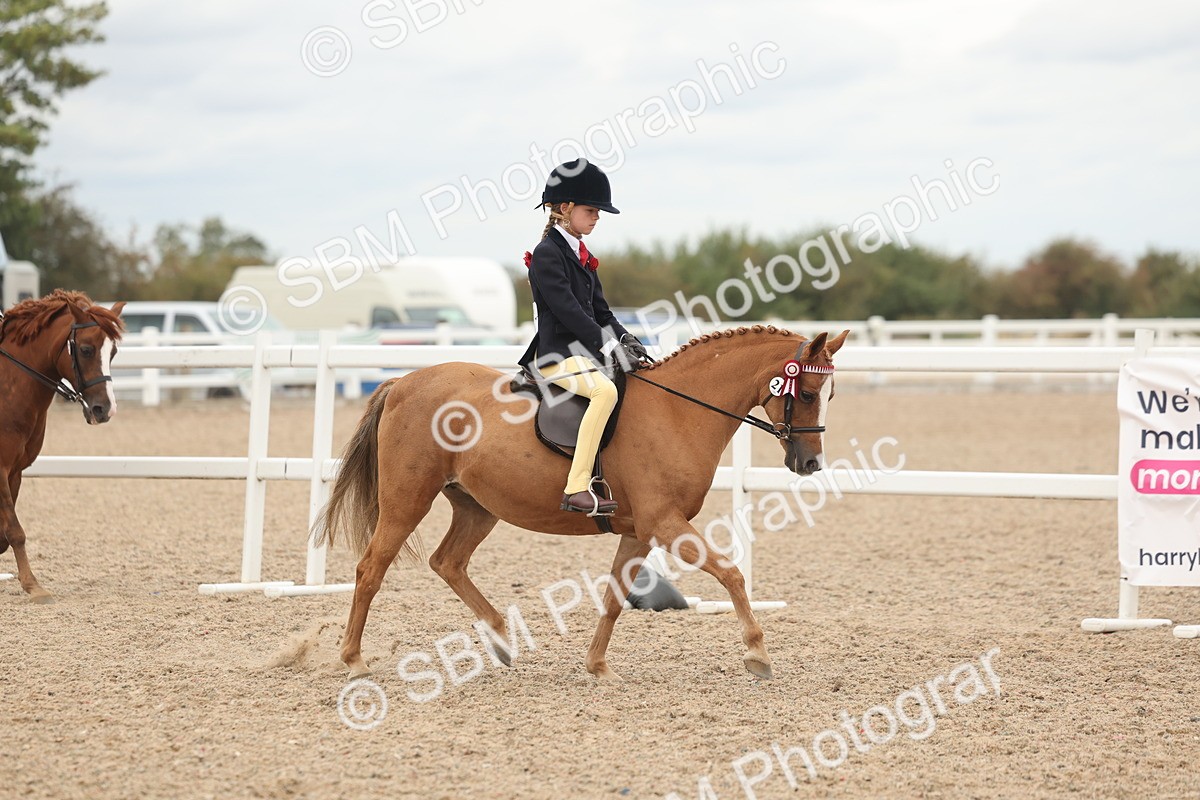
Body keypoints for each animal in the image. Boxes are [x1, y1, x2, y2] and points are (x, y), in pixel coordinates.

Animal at [0, 290, 126, 603]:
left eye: (113, 353)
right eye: (86, 349)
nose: (105, 410)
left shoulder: (15, 471)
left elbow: (7, 533)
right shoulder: (0, 469)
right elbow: (15, 531)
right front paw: (34, 586)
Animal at [314, 325, 849, 680]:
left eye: (830, 395)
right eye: (807, 392)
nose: (809, 464)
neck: (679, 411)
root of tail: (402, 382)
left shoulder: (639, 531)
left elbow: (614, 597)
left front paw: (596, 666)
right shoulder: (665, 522)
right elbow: (731, 572)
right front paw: (758, 654)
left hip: (477, 506)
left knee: (448, 562)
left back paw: (500, 640)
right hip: (408, 500)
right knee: (371, 569)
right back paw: (354, 659)